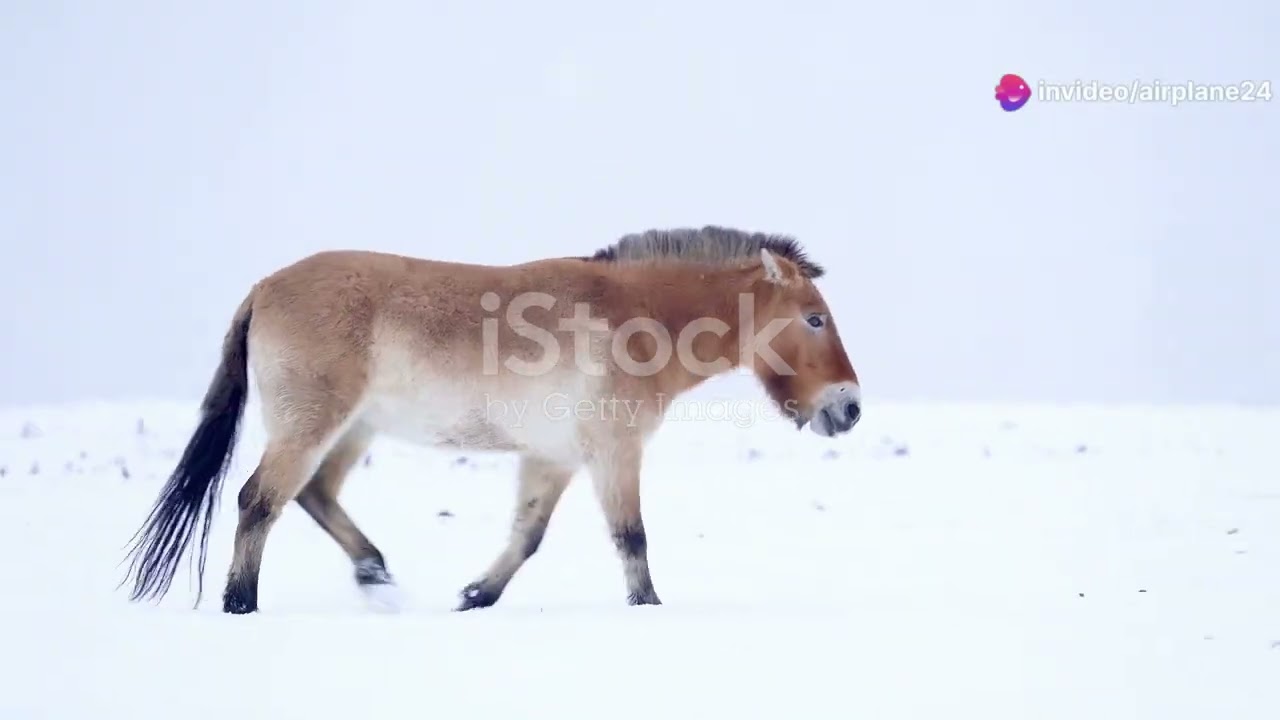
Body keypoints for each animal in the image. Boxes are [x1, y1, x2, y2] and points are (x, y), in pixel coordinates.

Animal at [121, 225, 862, 614]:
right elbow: (632, 538)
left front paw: (476, 595)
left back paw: (375, 574)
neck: (639, 319)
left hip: (353, 429)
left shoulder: (554, 458)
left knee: (314, 495)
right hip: (310, 426)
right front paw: (648, 611)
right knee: (259, 501)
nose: (849, 407)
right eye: (813, 318)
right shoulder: (614, 451)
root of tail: (263, 287)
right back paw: (241, 604)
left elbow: (527, 536)